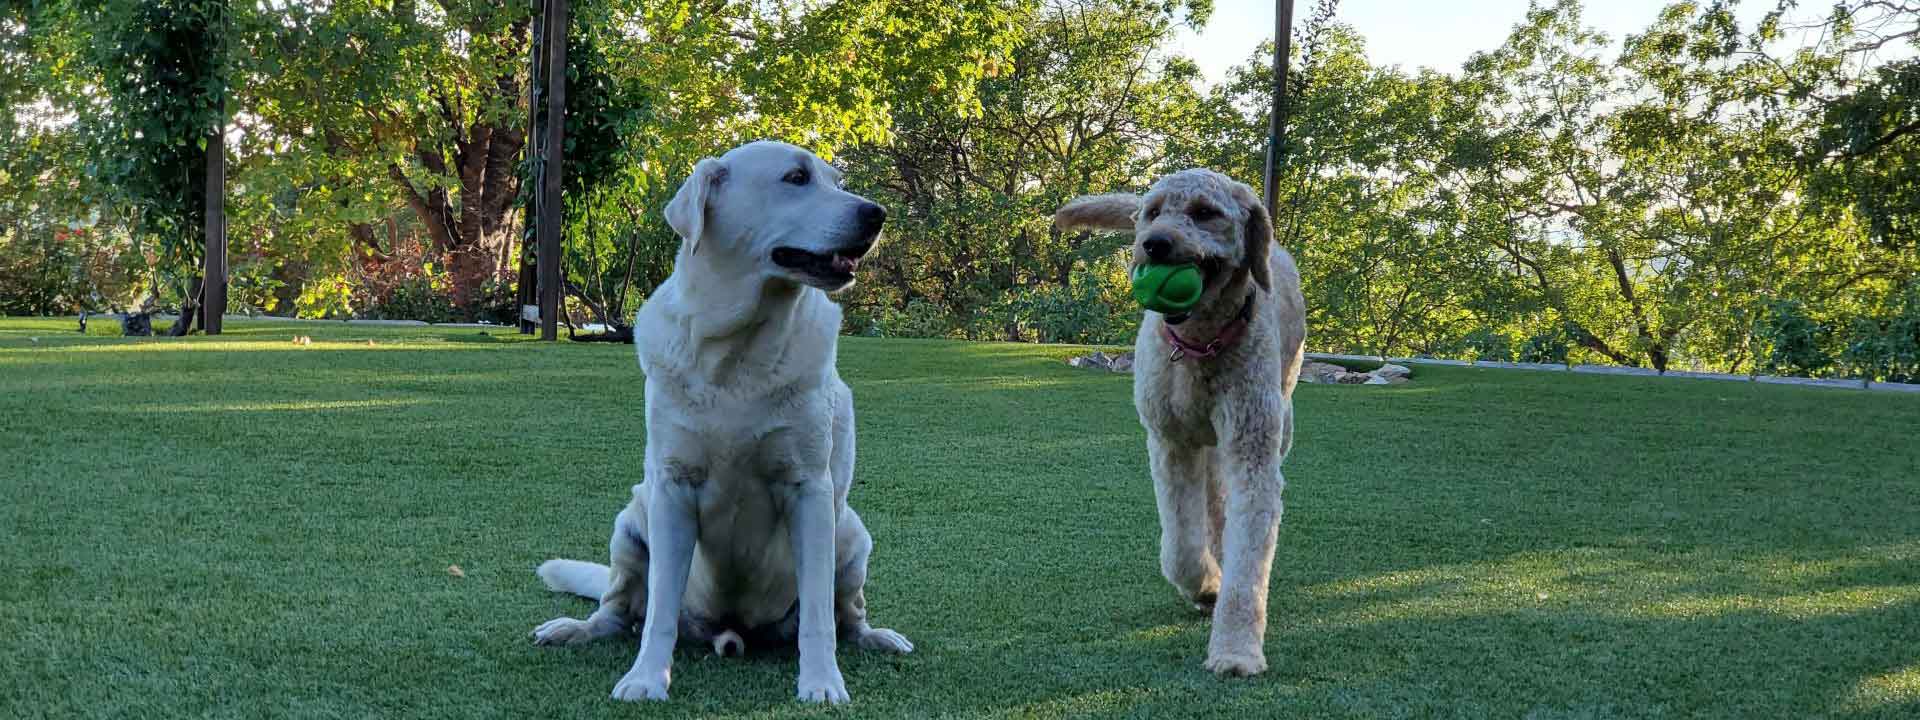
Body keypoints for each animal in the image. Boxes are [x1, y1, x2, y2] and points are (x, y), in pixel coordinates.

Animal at [529, 141, 910, 706]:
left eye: (837, 181)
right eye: (796, 178)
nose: (877, 213)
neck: (739, 352)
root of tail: (732, 632)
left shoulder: (810, 491)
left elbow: (819, 615)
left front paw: (821, 681)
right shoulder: (672, 490)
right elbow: (659, 610)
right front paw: (648, 677)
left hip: (852, 536)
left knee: (846, 616)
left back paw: (876, 637)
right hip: (631, 524)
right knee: (616, 611)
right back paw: (574, 629)